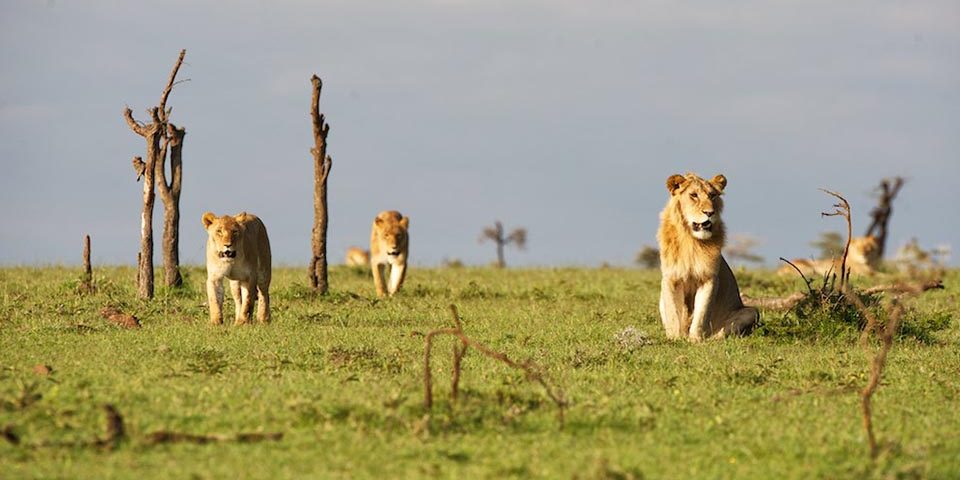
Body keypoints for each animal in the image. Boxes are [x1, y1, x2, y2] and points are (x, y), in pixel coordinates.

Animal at [657, 173, 758, 341]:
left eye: (712, 196)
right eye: (693, 195)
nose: (710, 213)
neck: (691, 240)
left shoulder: (709, 278)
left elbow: (702, 313)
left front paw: (695, 340)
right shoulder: (671, 278)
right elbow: (672, 312)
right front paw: (674, 338)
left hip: (752, 312)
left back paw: (710, 339)